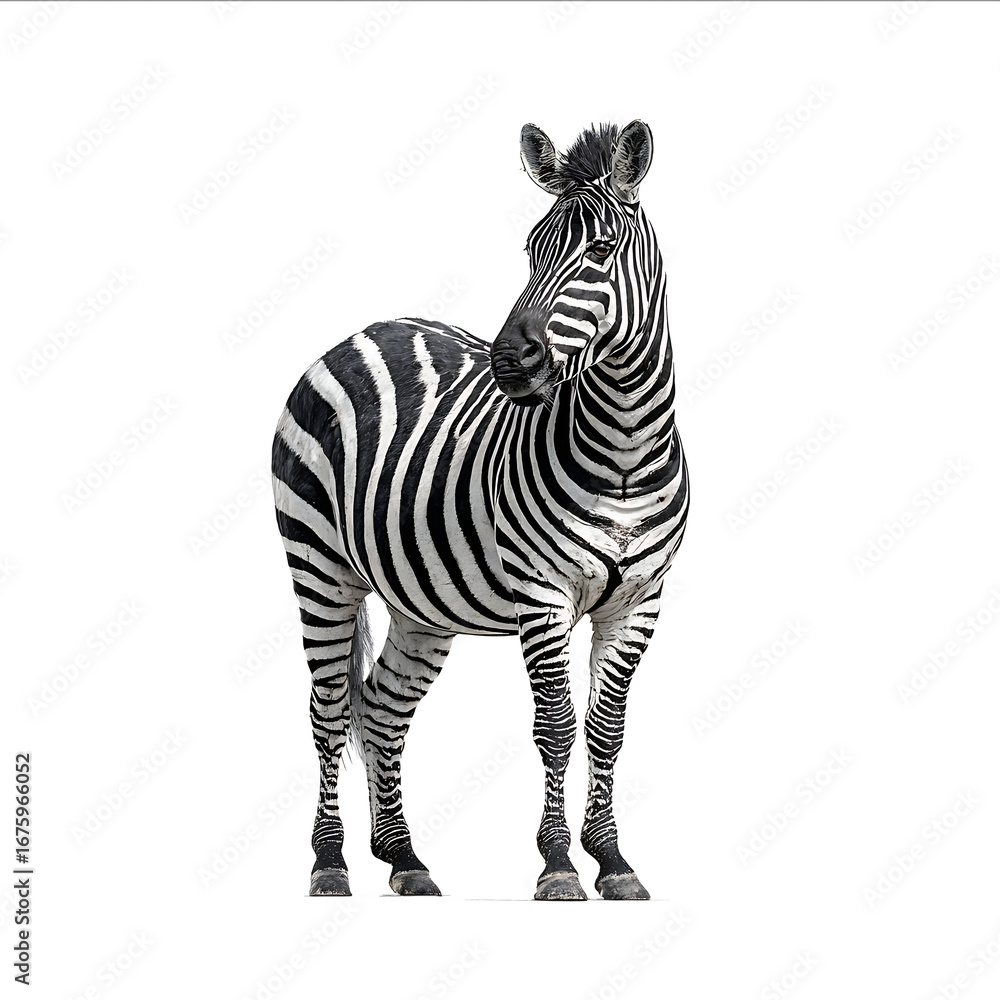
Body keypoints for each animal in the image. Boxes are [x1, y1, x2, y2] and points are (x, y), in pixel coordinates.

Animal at [271, 120, 689, 901]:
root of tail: (364, 329)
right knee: (329, 707)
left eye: (600, 251)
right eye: (530, 251)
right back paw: (330, 863)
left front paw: (613, 861)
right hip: (318, 565)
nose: (509, 361)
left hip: (420, 603)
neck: (624, 447)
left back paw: (403, 858)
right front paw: (558, 865)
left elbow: (608, 728)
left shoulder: (641, 600)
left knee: (382, 706)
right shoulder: (542, 595)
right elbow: (557, 725)